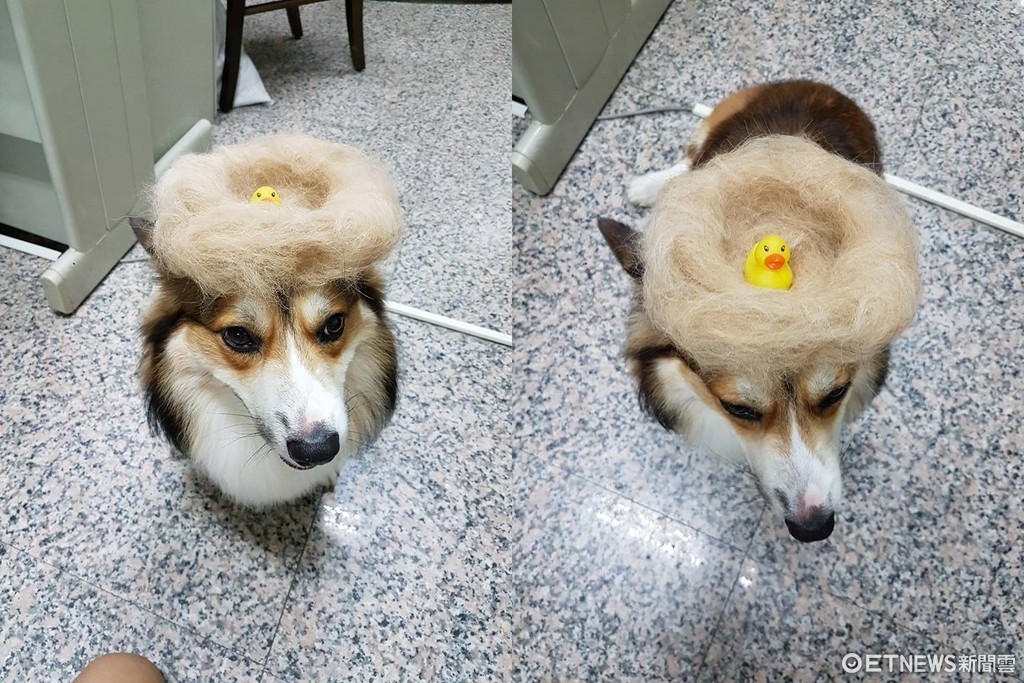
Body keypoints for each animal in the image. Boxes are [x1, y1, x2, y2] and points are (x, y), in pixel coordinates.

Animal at [600, 81, 920, 542]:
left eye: (835, 394)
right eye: (738, 410)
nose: (814, 528)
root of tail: (816, 85)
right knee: (685, 164)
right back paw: (648, 187)